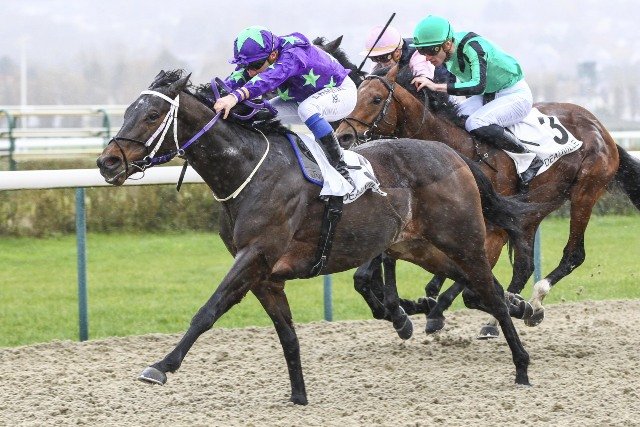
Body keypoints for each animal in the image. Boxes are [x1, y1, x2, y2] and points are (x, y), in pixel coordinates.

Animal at [97, 69, 534, 405]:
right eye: (128, 112)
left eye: (153, 115)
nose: (107, 162)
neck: (249, 173)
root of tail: (455, 155)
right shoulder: (266, 276)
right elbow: (288, 336)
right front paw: (299, 396)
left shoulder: (255, 255)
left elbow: (210, 309)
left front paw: (160, 366)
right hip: (417, 246)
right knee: (482, 288)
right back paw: (525, 309)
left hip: (463, 239)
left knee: (488, 290)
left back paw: (522, 366)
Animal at [335, 64, 640, 335]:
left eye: (376, 99)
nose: (343, 136)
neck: (458, 147)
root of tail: (603, 130)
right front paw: (409, 308)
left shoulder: (488, 225)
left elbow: (470, 282)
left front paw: (429, 308)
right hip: (535, 208)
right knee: (525, 265)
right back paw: (507, 313)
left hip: (584, 192)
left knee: (573, 254)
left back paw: (531, 303)